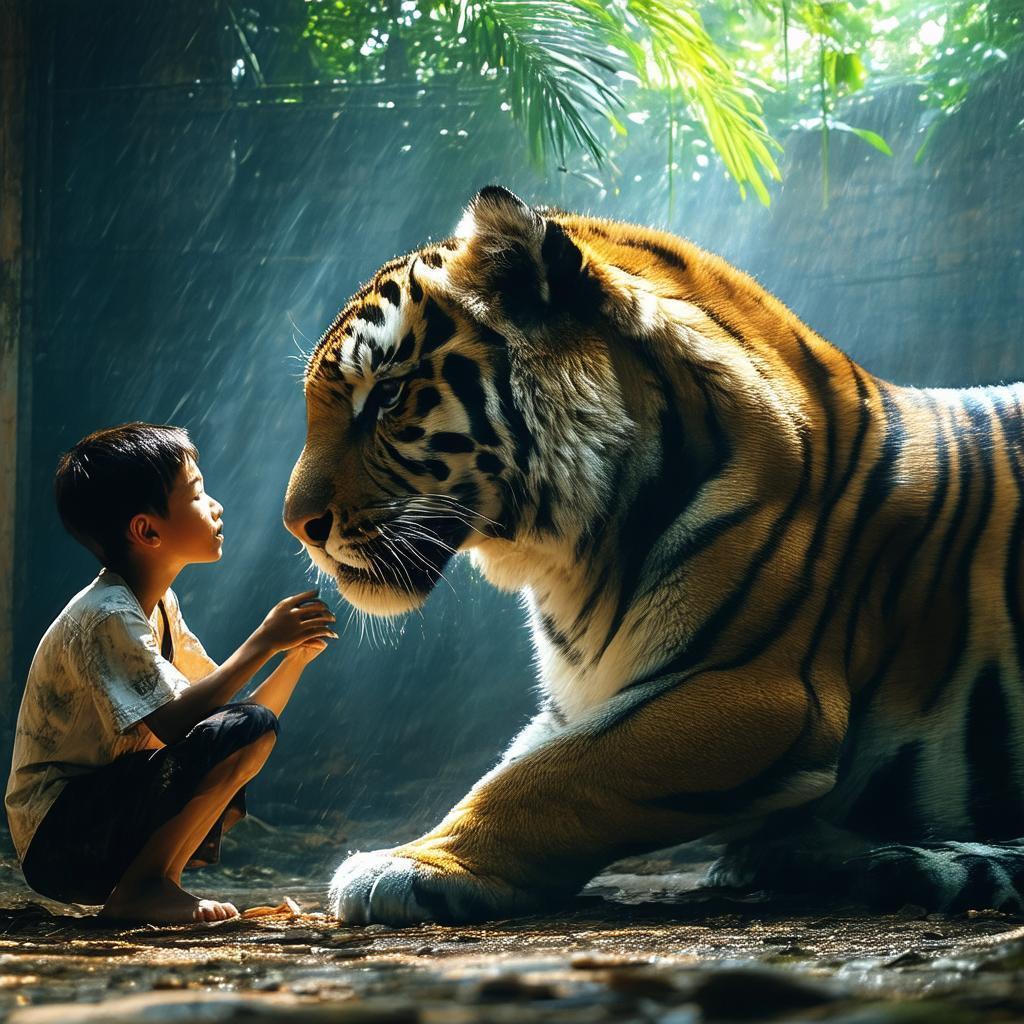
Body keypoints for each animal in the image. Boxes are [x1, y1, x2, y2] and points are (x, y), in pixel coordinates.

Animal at [283, 185, 1024, 925]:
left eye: (386, 395)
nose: (298, 526)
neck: (568, 558)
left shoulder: (757, 686)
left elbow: (545, 777)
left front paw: (407, 865)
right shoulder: (578, 703)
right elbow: (518, 766)